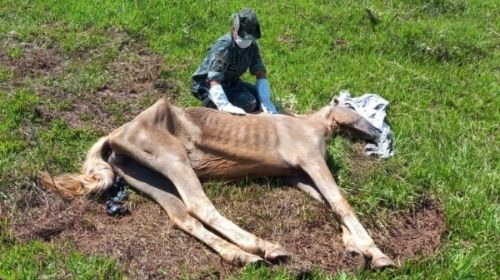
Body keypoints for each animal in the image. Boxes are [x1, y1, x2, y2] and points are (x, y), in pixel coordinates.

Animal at [40, 98, 394, 266]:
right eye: (356, 108)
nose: (378, 133)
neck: (310, 125)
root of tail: (114, 135)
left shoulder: (295, 174)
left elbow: (328, 203)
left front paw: (358, 247)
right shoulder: (310, 160)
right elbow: (340, 202)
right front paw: (378, 254)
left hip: (148, 177)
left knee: (181, 216)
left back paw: (243, 256)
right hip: (173, 160)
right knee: (199, 206)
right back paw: (264, 247)